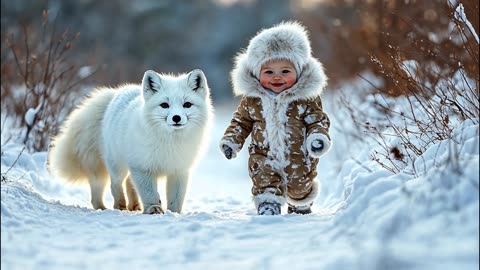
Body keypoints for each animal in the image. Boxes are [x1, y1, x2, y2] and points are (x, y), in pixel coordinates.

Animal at [48, 68, 212, 214]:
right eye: (165, 105)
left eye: (187, 104)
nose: (176, 118)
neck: (170, 143)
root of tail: (116, 92)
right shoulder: (142, 168)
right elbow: (149, 193)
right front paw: (153, 209)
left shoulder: (179, 171)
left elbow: (176, 198)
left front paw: (174, 213)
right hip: (117, 166)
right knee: (113, 185)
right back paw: (115, 206)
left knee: (128, 183)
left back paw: (134, 206)